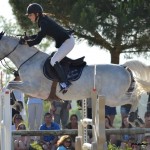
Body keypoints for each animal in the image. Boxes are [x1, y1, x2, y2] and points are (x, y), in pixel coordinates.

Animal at [0, 32, 150, 125]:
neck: (29, 59)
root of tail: (123, 67)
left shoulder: (33, 88)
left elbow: (9, 85)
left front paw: (16, 104)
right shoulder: (29, 87)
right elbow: (10, 85)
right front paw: (17, 104)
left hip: (112, 98)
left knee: (134, 98)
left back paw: (133, 117)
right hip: (111, 97)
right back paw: (137, 119)